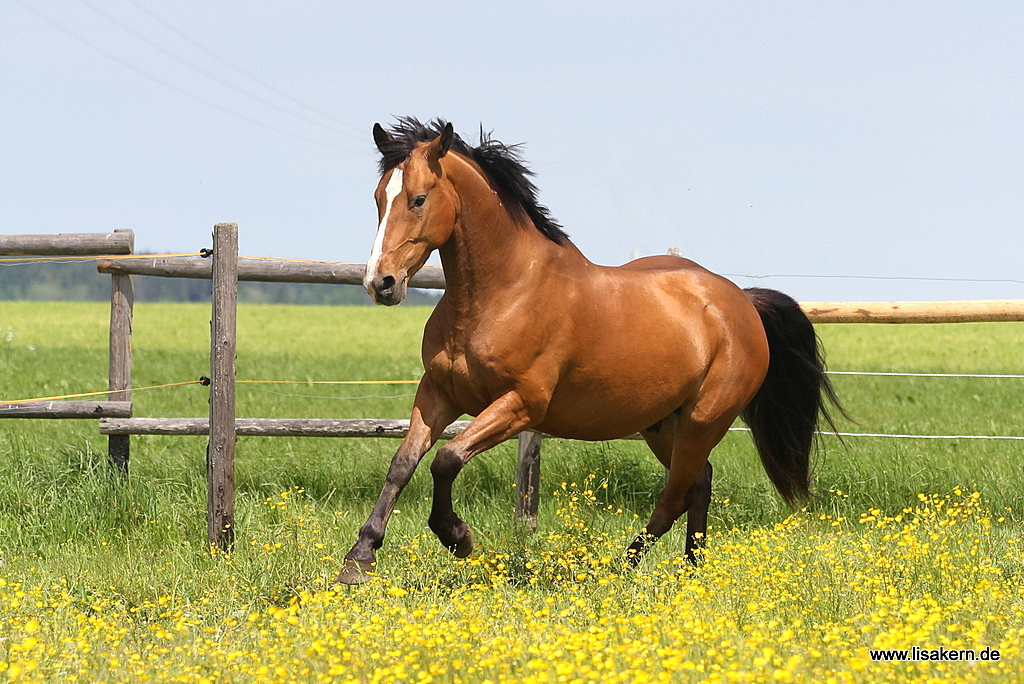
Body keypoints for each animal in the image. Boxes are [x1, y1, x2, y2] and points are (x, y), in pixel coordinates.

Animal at [337, 117, 842, 585]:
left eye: (419, 199)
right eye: (379, 197)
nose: (380, 282)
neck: (502, 293)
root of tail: (741, 301)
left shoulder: (521, 405)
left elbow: (446, 460)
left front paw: (458, 538)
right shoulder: (438, 393)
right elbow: (402, 465)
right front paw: (359, 559)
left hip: (703, 422)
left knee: (674, 495)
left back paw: (621, 571)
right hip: (663, 424)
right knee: (698, 484)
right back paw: (689, 571)